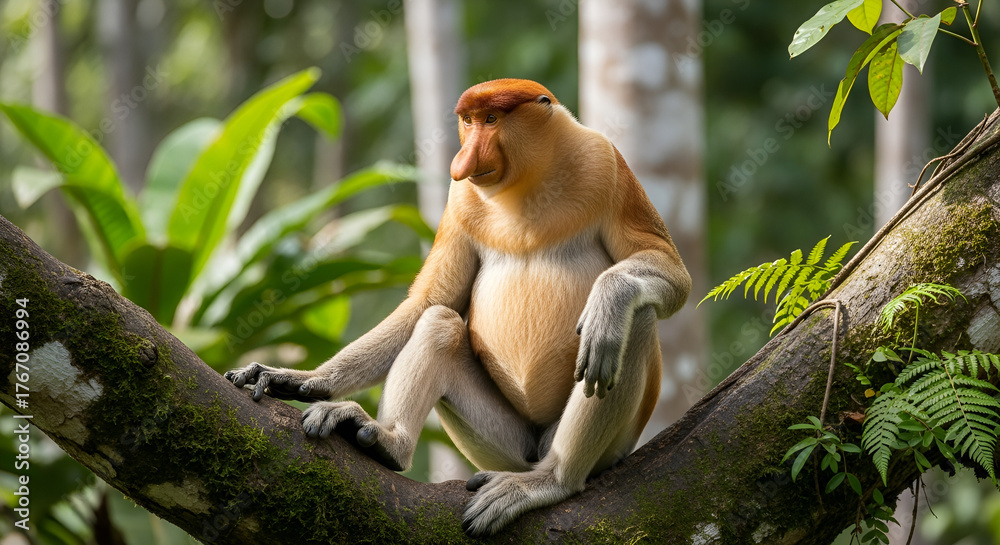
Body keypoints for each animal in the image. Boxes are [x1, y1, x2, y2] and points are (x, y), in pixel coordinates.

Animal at [224, 78, 691, 536]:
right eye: (468, 121)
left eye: (491, 119)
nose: (463, 158)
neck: (528, 182)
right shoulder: (460, 199)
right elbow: (431, 302)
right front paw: (299, 378)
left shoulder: (605, 163)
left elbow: (673, 274)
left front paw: (609, 299)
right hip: (508, 446)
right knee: (440, 323)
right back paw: (388, 442)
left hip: (609, 446)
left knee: (636, 320)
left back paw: (552, 479)